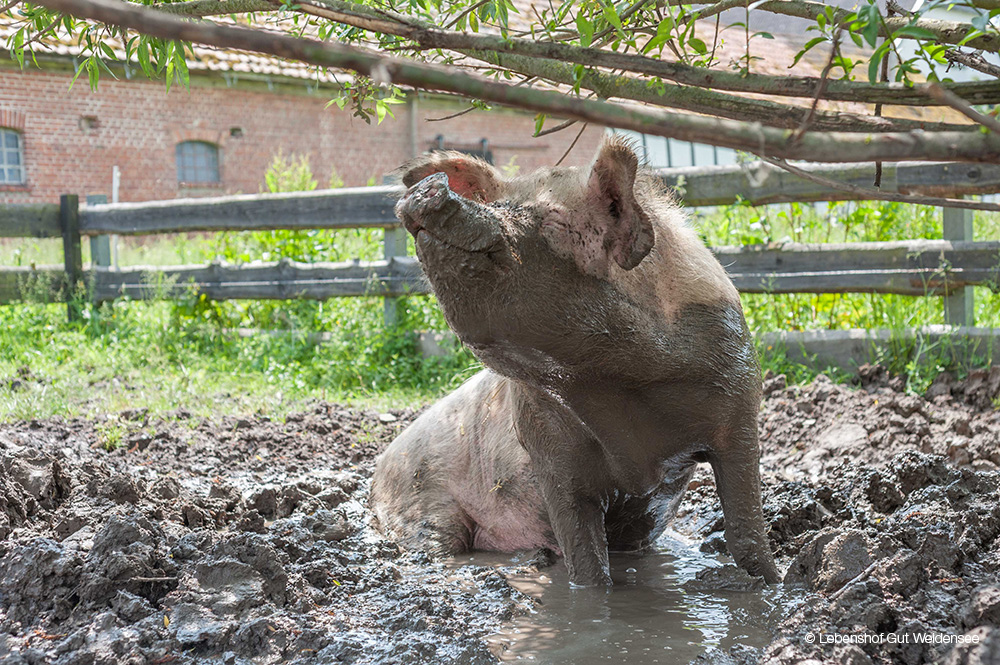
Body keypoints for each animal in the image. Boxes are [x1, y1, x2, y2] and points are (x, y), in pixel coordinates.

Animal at [370, 137, 780, 584]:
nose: (430, 185)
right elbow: (585, 564)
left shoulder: (740, 409)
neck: (615, 384)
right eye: (494, 203)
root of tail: (380, 463)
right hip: (421, 502)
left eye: (554, 219)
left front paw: (770, 580)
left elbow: (747, 529)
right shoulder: (544, 443)